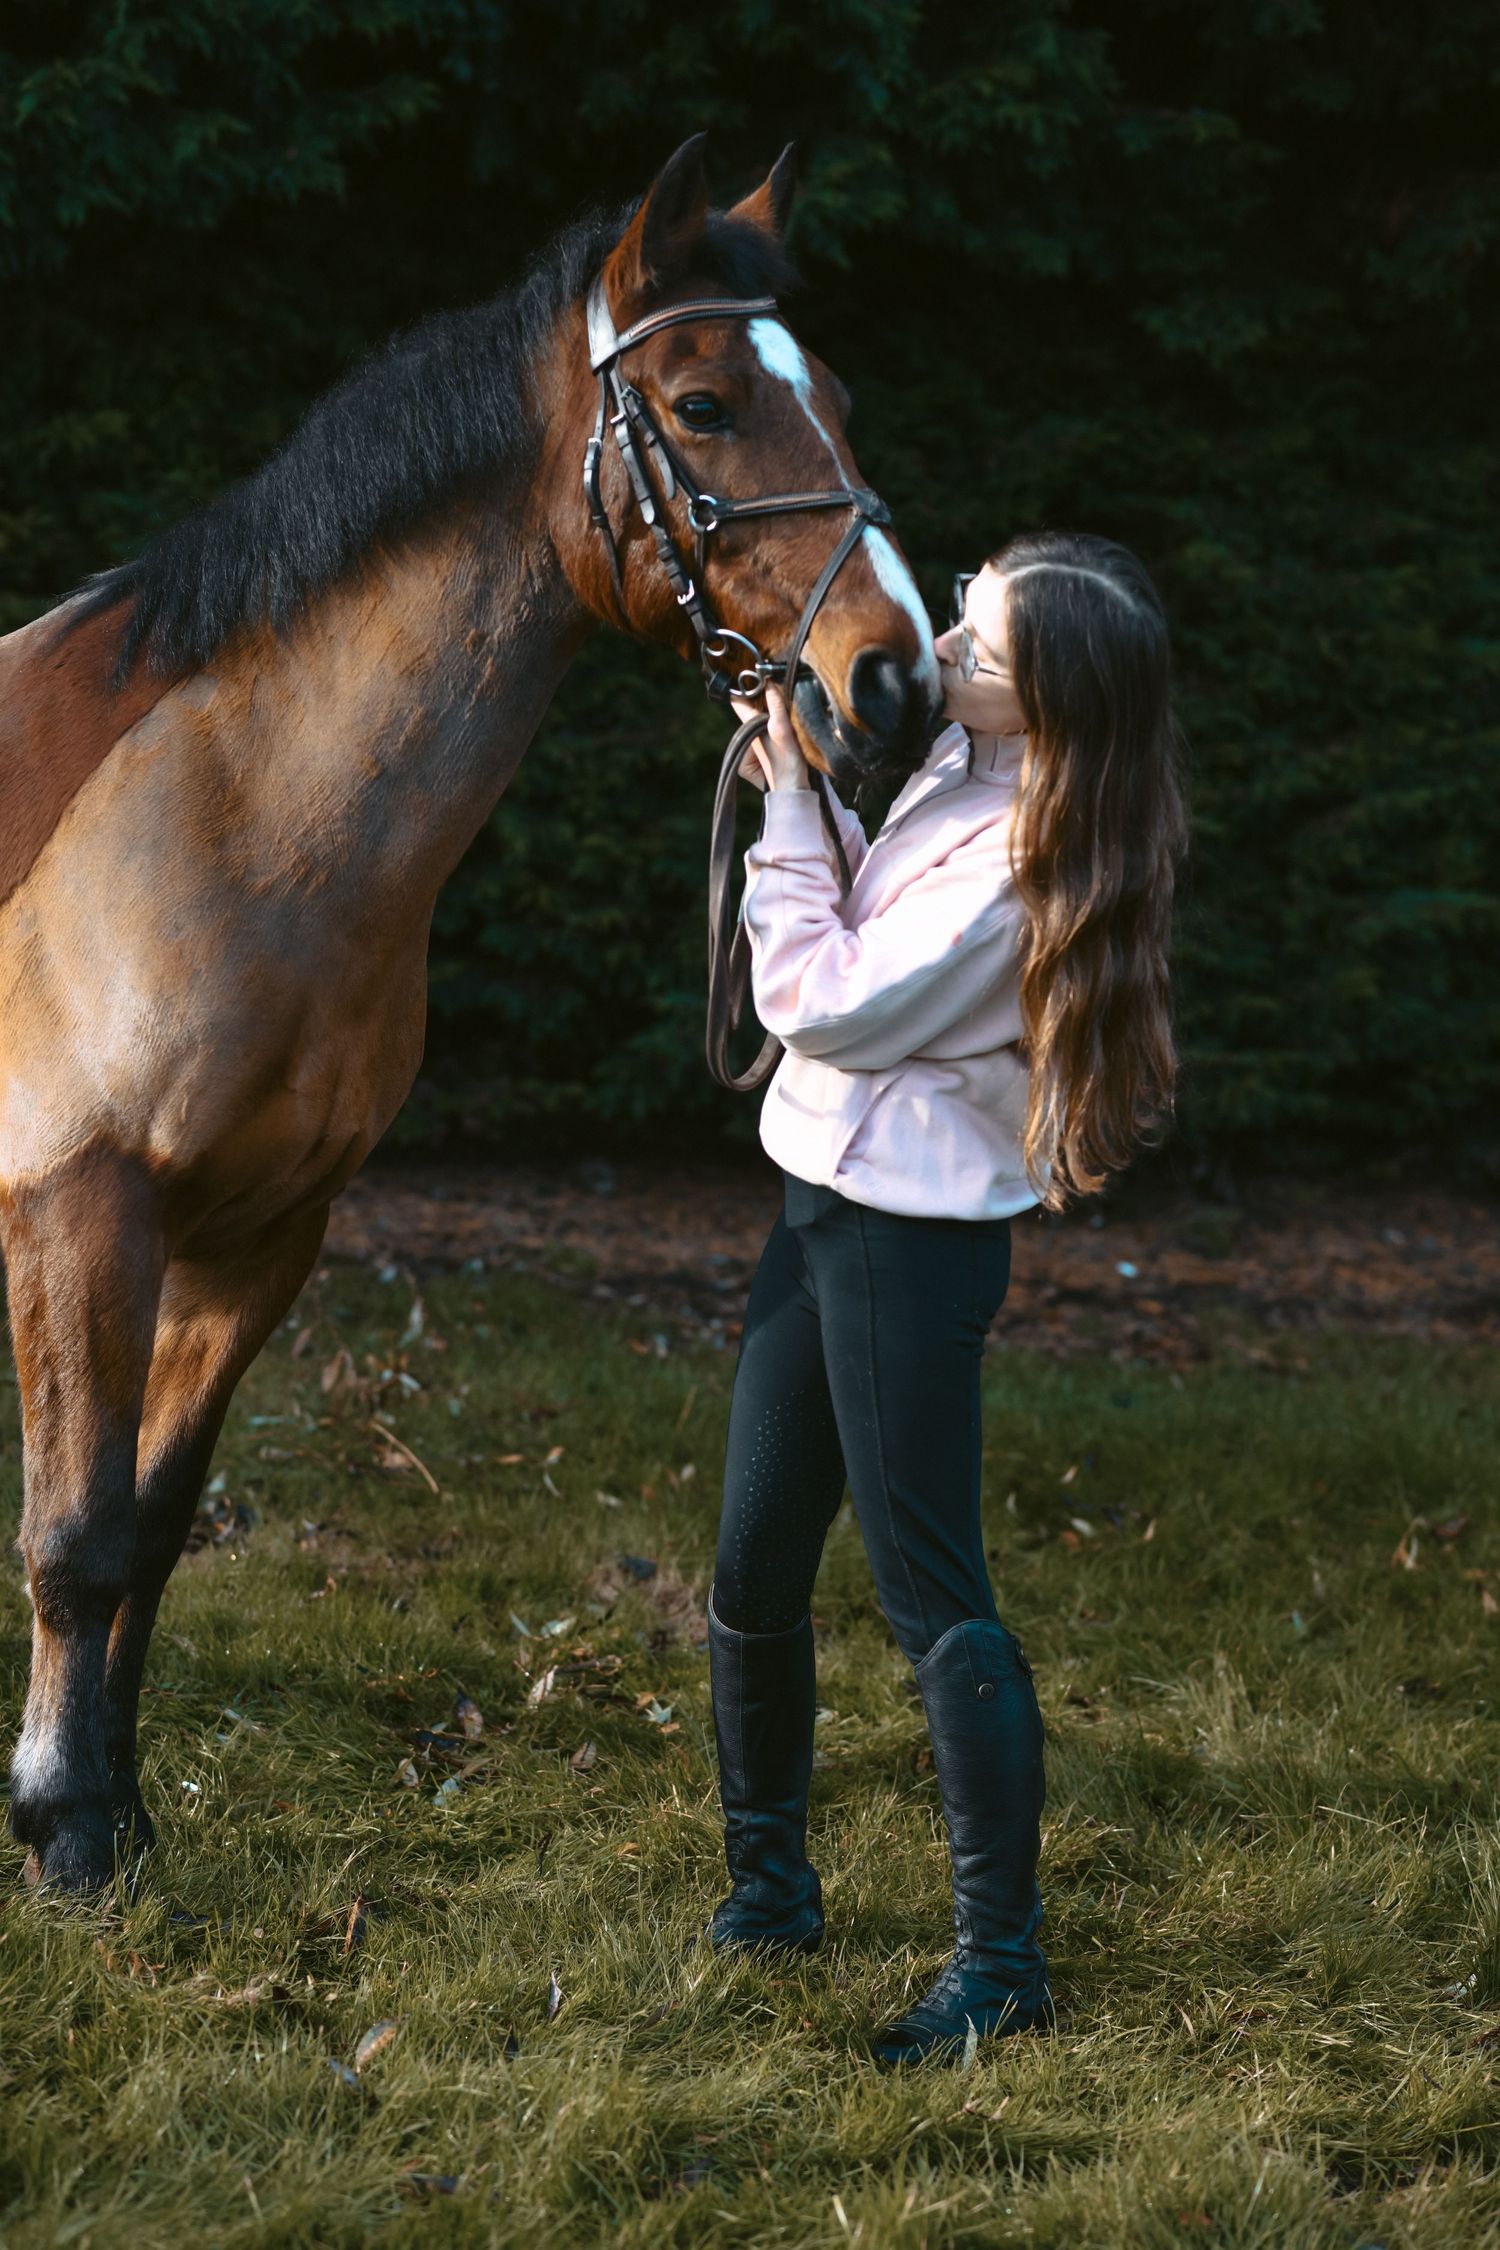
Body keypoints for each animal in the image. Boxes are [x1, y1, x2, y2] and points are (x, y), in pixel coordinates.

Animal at [0, 134, 942, 1890]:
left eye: (839, 395)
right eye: (704, 403)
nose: (894, 688)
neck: (232, 816)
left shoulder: (261, 1237)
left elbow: (154, 1527)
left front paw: (122, 1808)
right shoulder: (81, 1212)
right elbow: (77, 1536)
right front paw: (63, 1827)